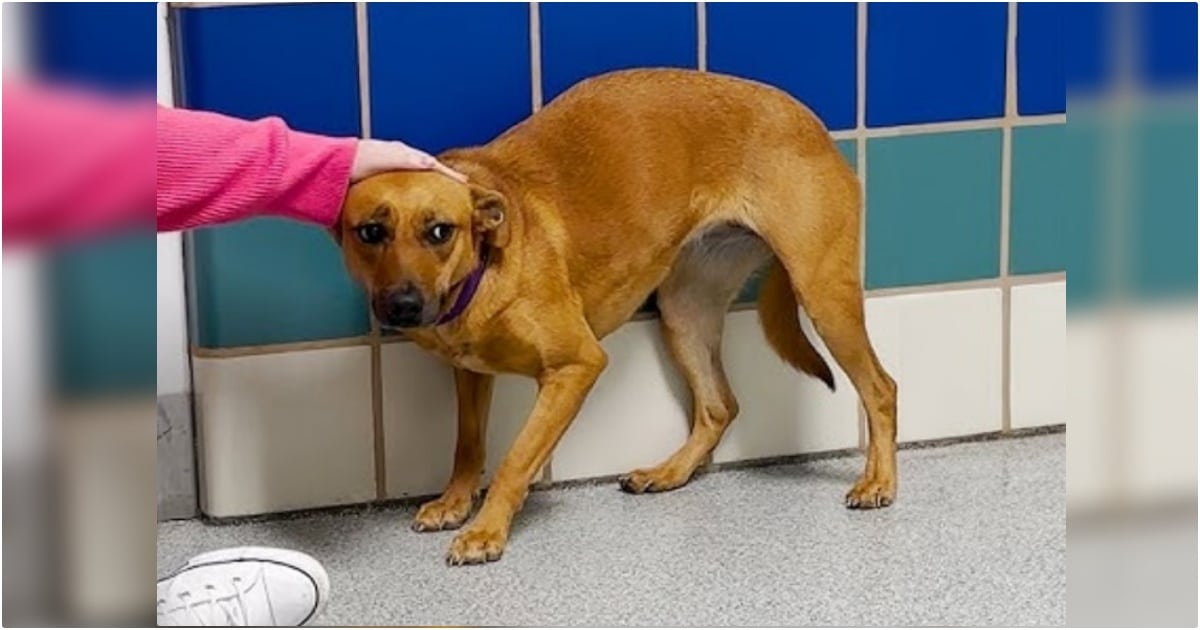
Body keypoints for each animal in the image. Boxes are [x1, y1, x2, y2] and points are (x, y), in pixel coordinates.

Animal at [333, 68, 897, 564]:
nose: (403, 306)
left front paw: (486, 531)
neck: (485, 264)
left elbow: (516, 458)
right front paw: (455, 502)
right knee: (719, 406)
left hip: (823, 296)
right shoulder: (470, 374)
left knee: (880, 387)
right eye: (371, 232)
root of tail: (812, 123)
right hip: (684, 312)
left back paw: (879, 481)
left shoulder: (576, 366)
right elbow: (468, 445)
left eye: (439, 232)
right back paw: (670, 472)